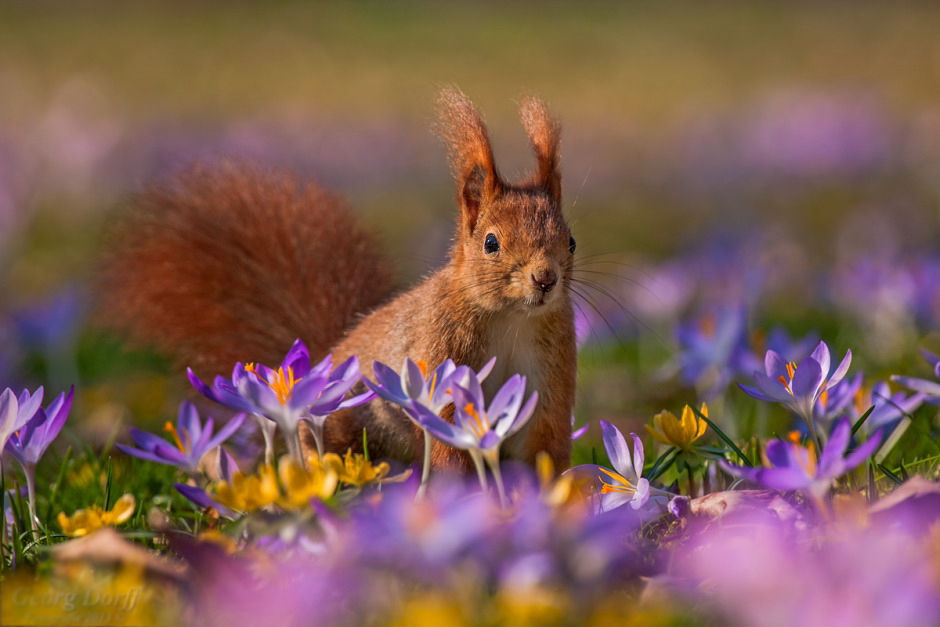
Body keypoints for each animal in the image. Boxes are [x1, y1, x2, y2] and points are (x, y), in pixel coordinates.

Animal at [99, 88, 576, 472]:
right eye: (491, 243)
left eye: (570, 241)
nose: (545, 279)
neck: (511, 319)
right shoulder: (441, 350)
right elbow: (448, 441)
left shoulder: (549, 374)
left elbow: (544, 441)